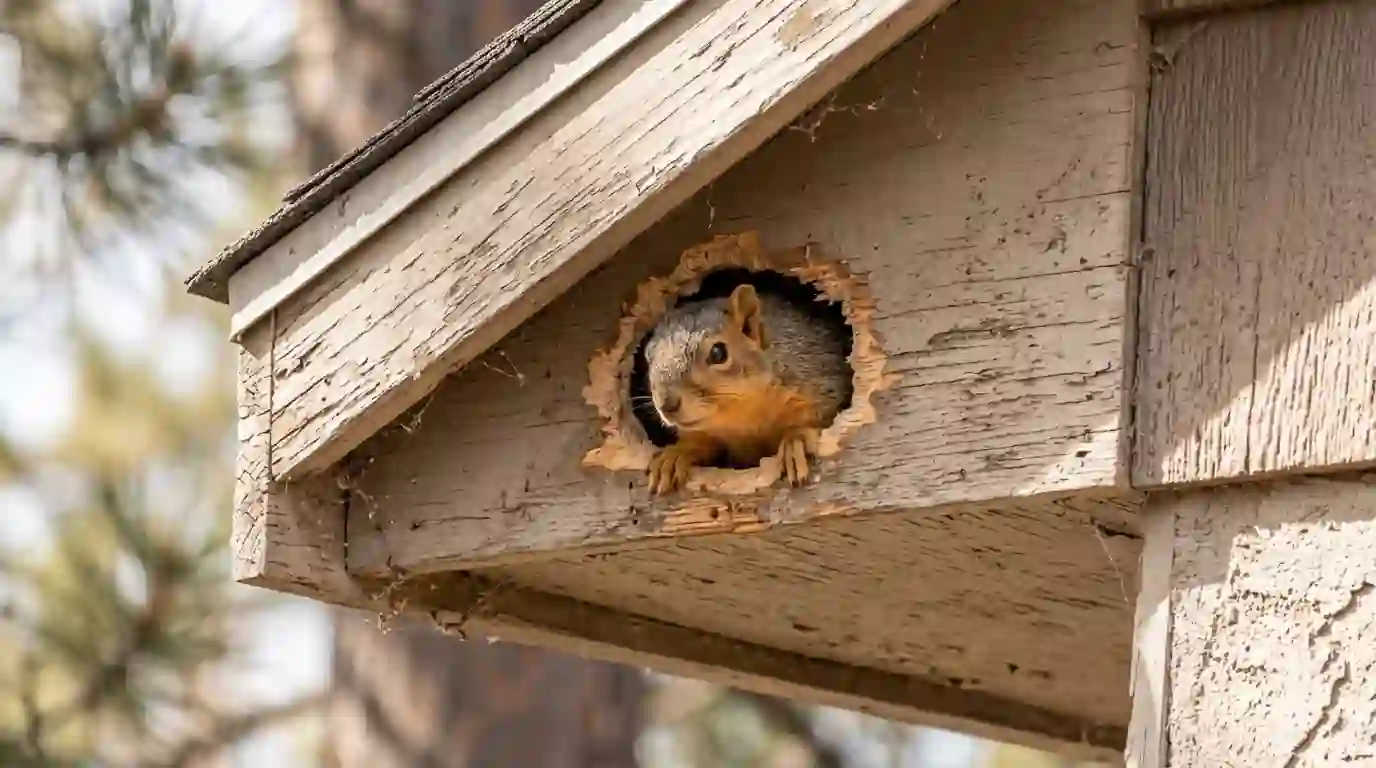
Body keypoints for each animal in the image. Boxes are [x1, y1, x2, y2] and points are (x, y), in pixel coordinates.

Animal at [641, 282, 851, 495]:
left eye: (718, 353)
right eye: (648, 356)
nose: (667, 405)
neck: (742, 414)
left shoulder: (821, 378)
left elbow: (821, 418)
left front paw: (795, 442)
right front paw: (675, 453)